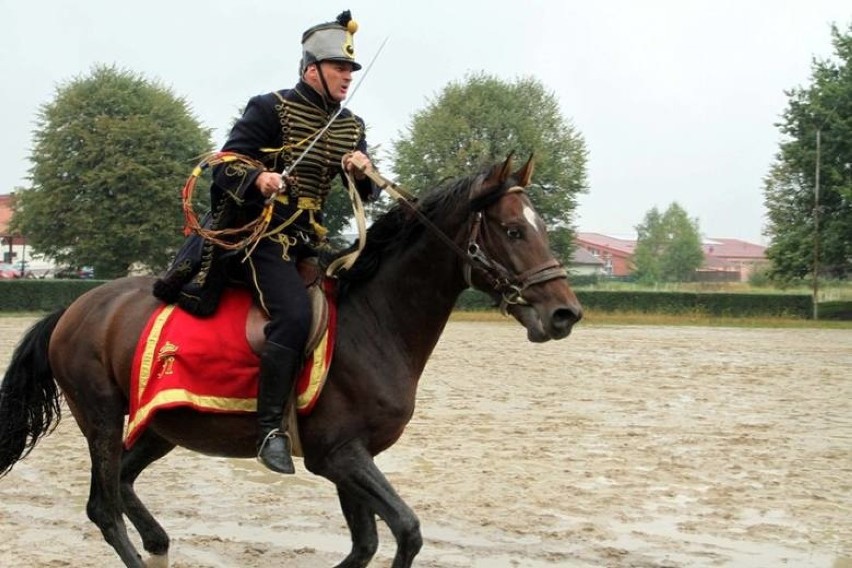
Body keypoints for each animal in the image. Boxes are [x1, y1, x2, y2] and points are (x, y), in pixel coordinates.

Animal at [0, 153, 584, 564]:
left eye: (540, 228)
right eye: (513, 230)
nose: (565, 313)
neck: (374, 321)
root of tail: (76, 307)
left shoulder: (354, 458)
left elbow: (367, 544)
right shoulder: (340, 456)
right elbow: (407, 532)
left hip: (162, 425)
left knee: (121, 484)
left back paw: (161, 543)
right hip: (100, 415)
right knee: (104, 507)